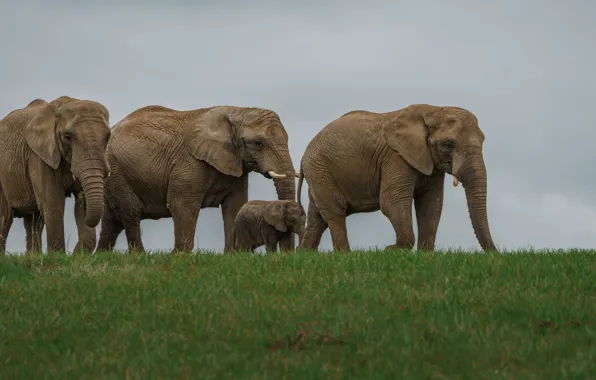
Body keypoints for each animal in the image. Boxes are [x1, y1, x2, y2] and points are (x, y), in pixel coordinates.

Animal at [0, 95, 112, 255]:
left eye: (108, 137)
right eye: (67, 136)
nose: (73, 253)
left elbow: (80, 204)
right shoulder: (39, 155)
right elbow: (53, 202)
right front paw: (57, 256)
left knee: (34, 221)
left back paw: (33, 257)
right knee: (5, 218)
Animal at [96, 104, 298, 254]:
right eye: (258, 143)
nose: (288, 253)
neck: (237, 111)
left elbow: (235, 206)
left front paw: (233, 256)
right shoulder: (189, 163)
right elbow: (183, 206)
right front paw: (180, 256)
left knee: (112, 221)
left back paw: (101, 256)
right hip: (115, 169)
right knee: (130, 212)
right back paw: (140, 256)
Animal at [298, 103, 498, 252]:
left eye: (482, 141)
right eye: (448, 144)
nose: (495, 253)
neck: (432, 110)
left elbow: (431, 204)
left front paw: (425, 255)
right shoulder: (395, 157)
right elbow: (390, 200)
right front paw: (390, 250)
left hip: (318, 173)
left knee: (317, 219)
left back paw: (304, 254)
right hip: (320, 170)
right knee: (335, 213)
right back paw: (345, 255)